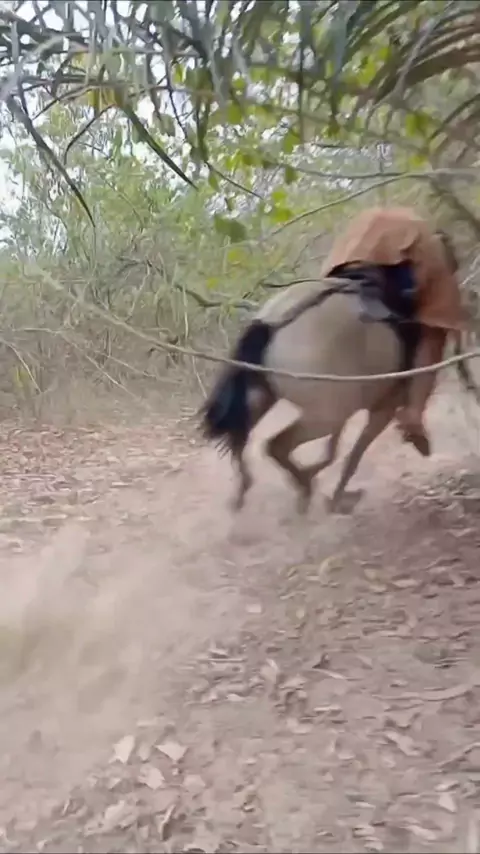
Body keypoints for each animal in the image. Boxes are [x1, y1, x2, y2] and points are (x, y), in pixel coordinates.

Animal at [200, 268, 477, 515]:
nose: (470, 381)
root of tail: (274, 322)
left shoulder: (348, 407)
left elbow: (333, 451)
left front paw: (322, 479)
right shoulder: (381, 410)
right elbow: (352, 456)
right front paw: (336, 499)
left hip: (265, 399)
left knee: (242, 438)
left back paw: (246, 491)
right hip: (323, 416)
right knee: (275, 445)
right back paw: (303, 489)